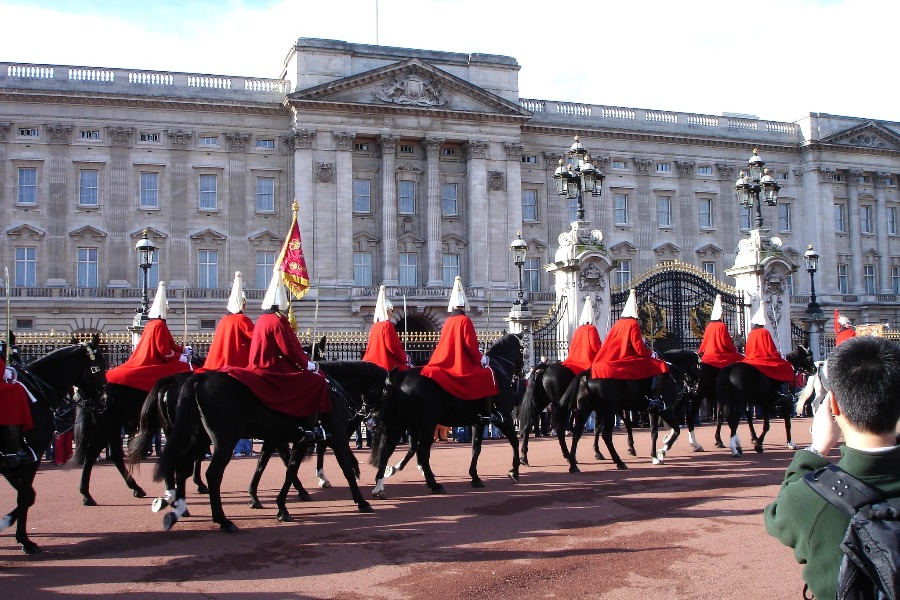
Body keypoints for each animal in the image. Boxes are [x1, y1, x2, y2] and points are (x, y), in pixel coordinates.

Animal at [1, 332, 106, 552]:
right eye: (100, 365)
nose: (104, 400)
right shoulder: (31, 455)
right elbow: (25, 495)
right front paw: (24, 540)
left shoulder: (10, 463)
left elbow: (27, 495)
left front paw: (7, 522)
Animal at [368, 332, 524, 496]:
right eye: (522, 349)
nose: (521, 371)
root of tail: (401, 377)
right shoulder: (504, 417)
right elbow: (513, 441)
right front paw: (514, 471)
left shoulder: (478, 422)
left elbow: (475, 448)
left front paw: (475, 477)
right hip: (426, 424)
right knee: (422, 451)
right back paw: (434, 484)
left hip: (402, 423)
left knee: (388, 449)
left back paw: (380, 483)